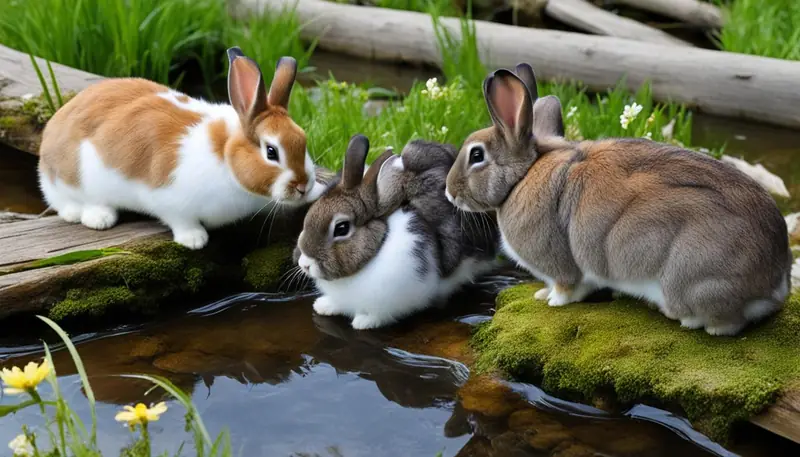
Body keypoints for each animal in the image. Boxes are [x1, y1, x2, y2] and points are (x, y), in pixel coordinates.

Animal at [37, 47, 321, 250]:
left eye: (303, 139)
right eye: (271, 152)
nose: (303, 186)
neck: (224, 154)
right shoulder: (170, 200)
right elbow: (180, 220)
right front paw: (194, 239)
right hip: (74, 180)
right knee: (68, 203)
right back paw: (95, 217)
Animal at [445, 62, 792, 337]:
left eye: (476, 155)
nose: (449, 191)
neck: (524, 175)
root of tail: (775, 283)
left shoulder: (562, 266)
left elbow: (569, 286)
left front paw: (552, 300)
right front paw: (542, 295)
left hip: (693, 278)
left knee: (725, 323)